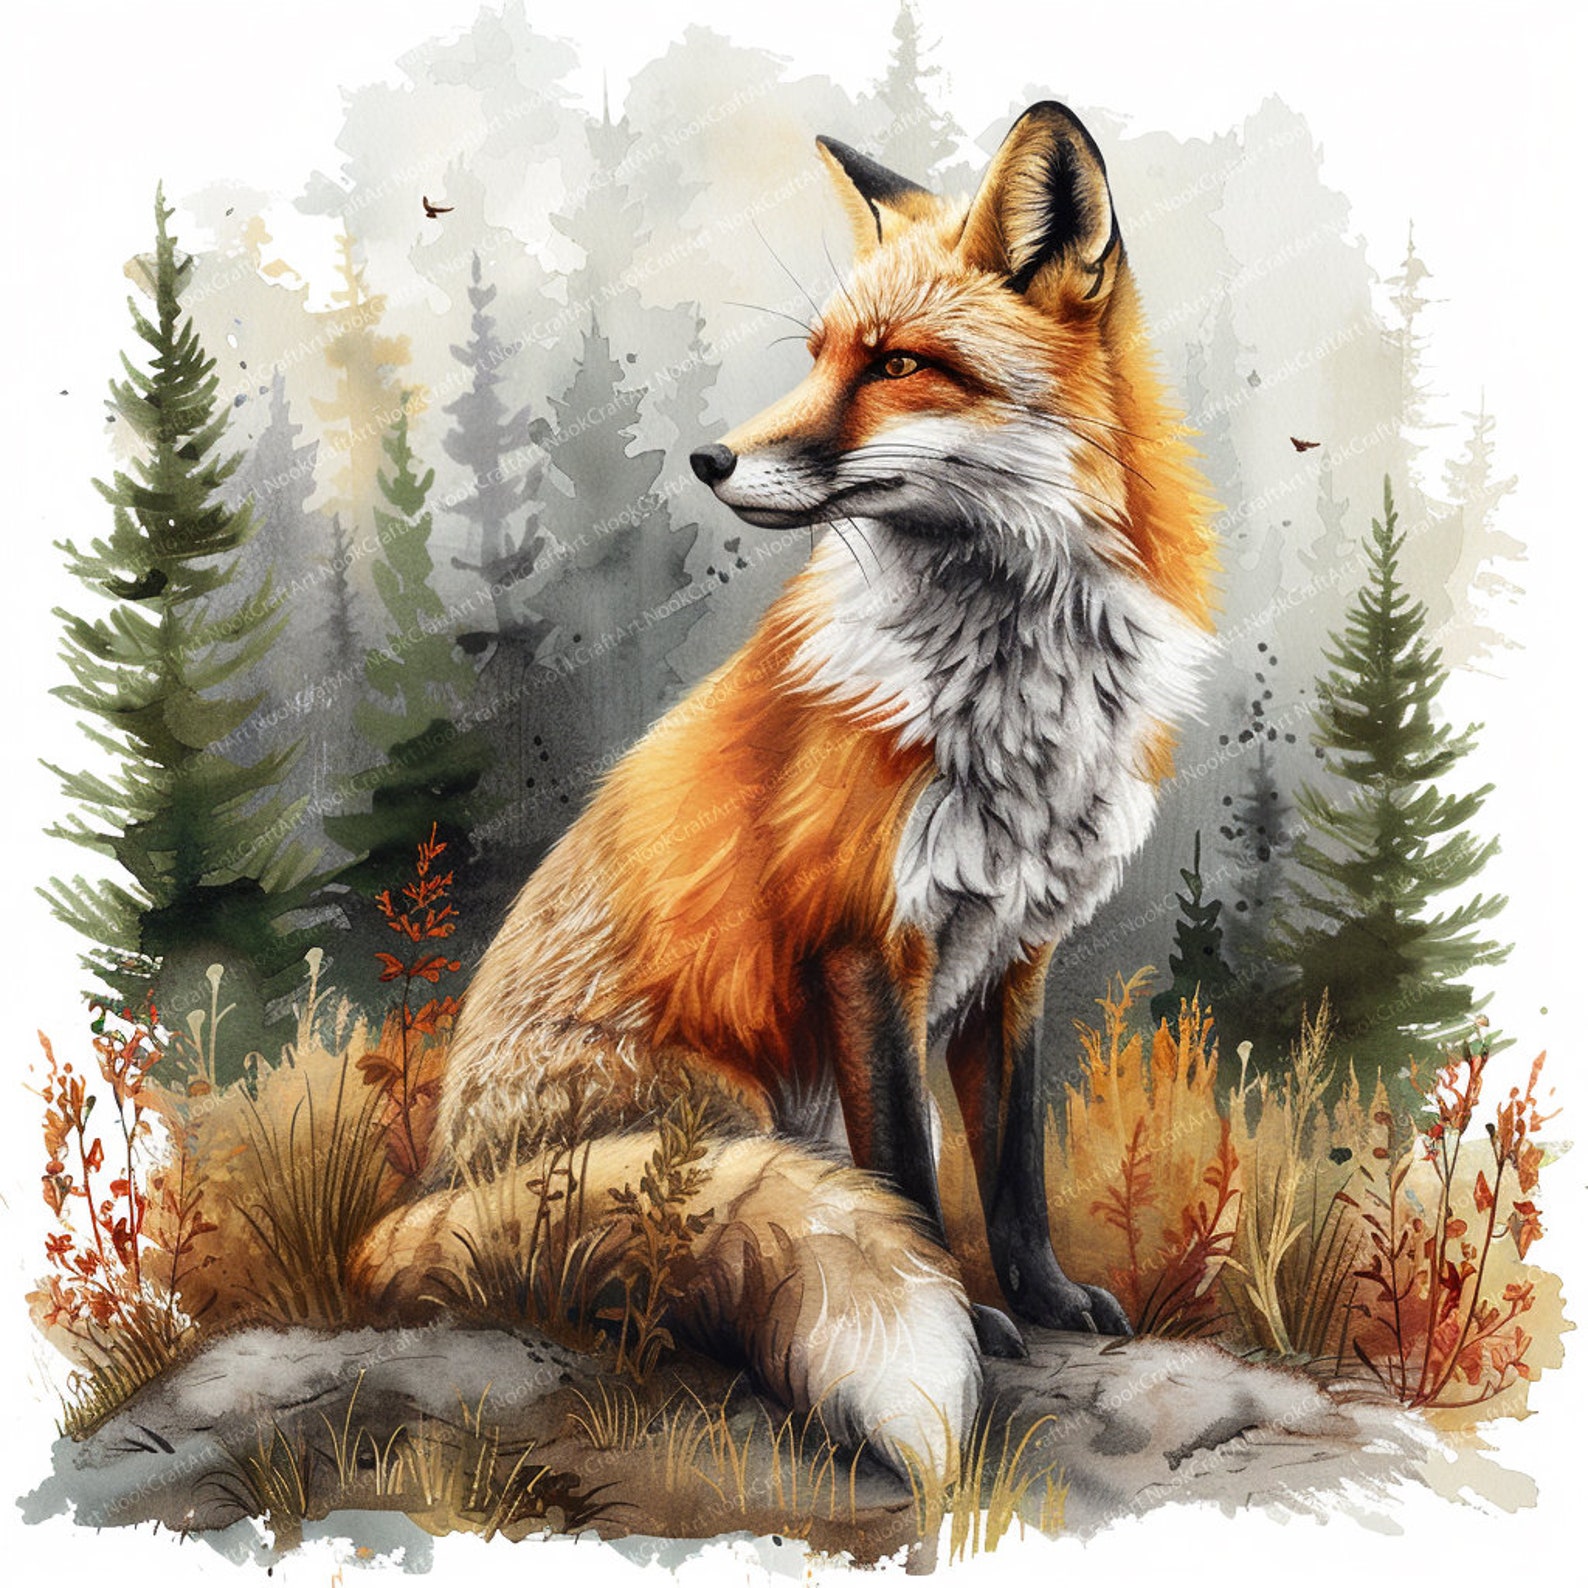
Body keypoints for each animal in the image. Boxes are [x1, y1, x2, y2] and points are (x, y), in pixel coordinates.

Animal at [353, 101, 1216, 1480]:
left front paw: (1040, 1299)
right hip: (731, 1105)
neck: (1009, 680)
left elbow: (1014, 1165)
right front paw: (968, 1314)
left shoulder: (1013, 953)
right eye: (815, 357)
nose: (710, 458)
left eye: (900, 363)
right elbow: (906, 1170)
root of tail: (423, 1198)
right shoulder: (862, 942)